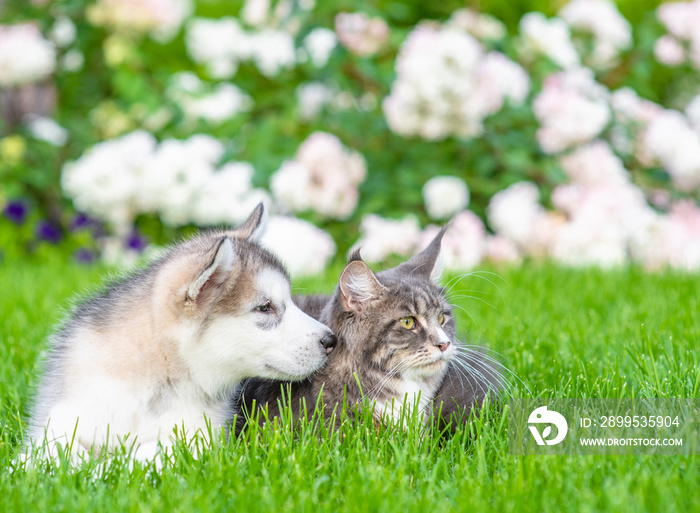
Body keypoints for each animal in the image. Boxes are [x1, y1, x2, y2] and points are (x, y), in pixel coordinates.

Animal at [24, 204, 336, 460]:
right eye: (264, 307)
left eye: (290, 301)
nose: (331, 340)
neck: (154, 382)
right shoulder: (64, 416)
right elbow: (51, 451)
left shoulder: (199, 436)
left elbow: (147, 452)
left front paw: (110, 466)